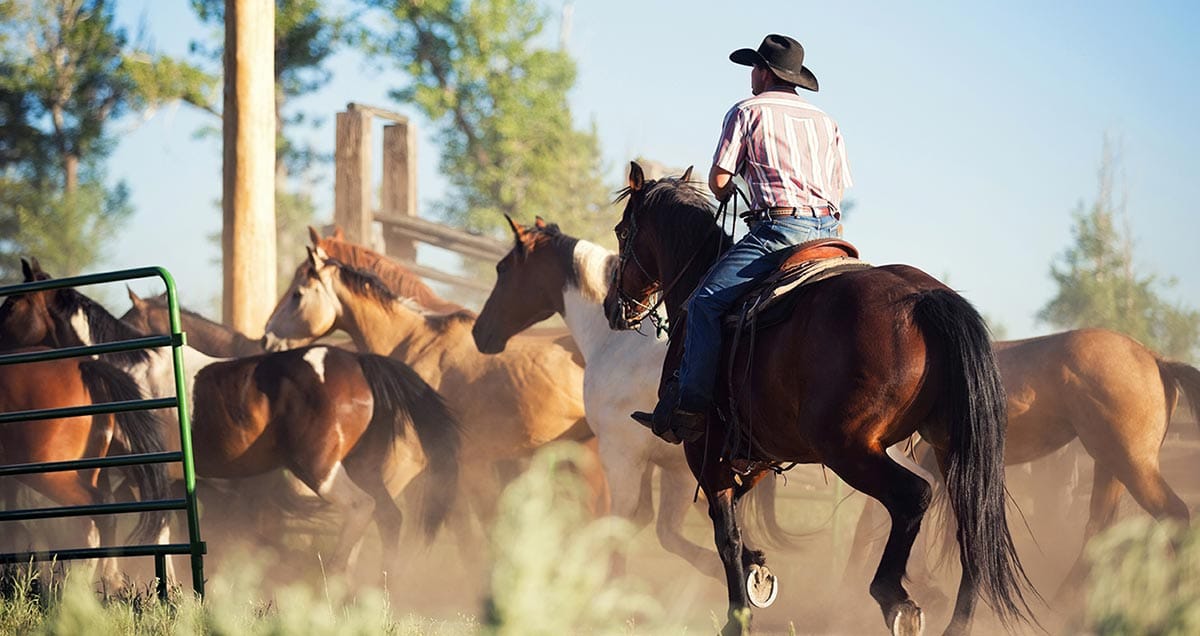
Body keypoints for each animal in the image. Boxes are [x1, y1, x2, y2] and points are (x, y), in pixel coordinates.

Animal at [601, 162, 1034, 636]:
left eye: (622, 232)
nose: (613, 307)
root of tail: (926, 298)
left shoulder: (704, 448)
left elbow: (725, 534)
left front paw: (738, 617)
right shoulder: (756, 453)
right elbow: (737, 519)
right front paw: (757, 568)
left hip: (849, 448)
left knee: (914, 496)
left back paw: (894, 598)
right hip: (948, 446)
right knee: (972, 527)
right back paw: (955, 622)